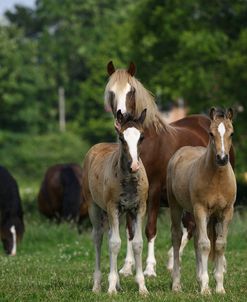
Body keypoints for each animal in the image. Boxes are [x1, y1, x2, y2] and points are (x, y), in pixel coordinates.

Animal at [82, 109, 149, 294]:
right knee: (98, 237)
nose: (134, 166)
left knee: (111, 234)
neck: (129, 180)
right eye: (122, 138)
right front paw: (111, 288)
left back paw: (118, 283)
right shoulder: (112, 207)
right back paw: (97, 285)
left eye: (141, 137)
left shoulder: (139, 208)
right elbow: (114, 244)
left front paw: (142, 287)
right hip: (94, 207)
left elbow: (137, 243)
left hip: (119, 213)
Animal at [103, 60, 234, 276]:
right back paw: (176, 261)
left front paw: (149, 268)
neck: (147, 143)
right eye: (111, 91)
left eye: (131, 91)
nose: (122, 117)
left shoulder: (155, 190)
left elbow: (150, 228)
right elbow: (131, 230)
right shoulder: (130, 193)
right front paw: (127, 267)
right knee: (191, 226)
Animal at [167, 107, 236, 294]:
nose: (222, 158)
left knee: (197, 237)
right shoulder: (201, 209)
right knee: (177, 237)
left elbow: (219, 244)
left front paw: (219, 287)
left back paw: (198, 279)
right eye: (211, 133)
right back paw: (176, 284)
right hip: (176, 206)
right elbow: (205, 245)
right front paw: (205, 288)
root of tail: (180, 152)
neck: (218, 179)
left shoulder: (226, 212)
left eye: (231, 133)